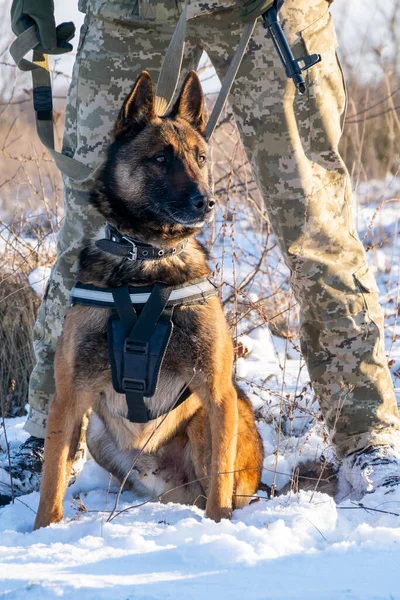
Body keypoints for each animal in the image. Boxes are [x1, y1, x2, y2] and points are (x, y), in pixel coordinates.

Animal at [33, 71, 262, 528]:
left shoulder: (216, 392)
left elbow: (220, 484)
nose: (207, 203)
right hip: (99, 437)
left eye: (201, 158)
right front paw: (41, 532)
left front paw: (218, 528)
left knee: (217, 485)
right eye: (159, 159)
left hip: (207, 421)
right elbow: (51, 482)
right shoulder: (69, 398)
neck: (148, 259)